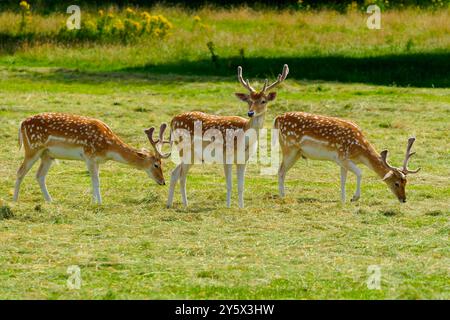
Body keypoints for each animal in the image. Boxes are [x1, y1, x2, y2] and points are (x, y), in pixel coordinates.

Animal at [13, 114, 171, 204]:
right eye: (156, 164)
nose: (163, 182)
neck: (108, 148)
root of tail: (22, 123)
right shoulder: (89, 155)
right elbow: (96, 181)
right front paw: (99, 202)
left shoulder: (96, 160)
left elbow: (93, 180)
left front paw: (94, 201)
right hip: (33, 148)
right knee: (20, 171)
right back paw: (15, 200)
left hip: (48, 155)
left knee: (39, 175)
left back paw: (50, 200)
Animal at [167, 65, 290, 210]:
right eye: (249, 100)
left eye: (263, 101)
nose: (250, 113)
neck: (244, 138)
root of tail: (172, 120)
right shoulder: (227, 156)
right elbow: (229, 184)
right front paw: (228, 206)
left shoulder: (244, 160)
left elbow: (241, 186)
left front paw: (241, 207)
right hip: (184, 149)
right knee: (180, 174)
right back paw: (179, 204)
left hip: (192, 154)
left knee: (177, 173)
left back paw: (176, 204)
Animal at [274, 112, 422, 202]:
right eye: (396, 183)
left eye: (406, 182)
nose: (404, 199)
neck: (359, 152)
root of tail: (278, 118)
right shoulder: (342, 157)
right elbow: (360, 173)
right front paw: (354, 198)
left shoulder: (342, 162)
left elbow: (343, 180)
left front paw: (343, 200)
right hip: (289, 147)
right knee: (280, 171)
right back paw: (282, 196)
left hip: (297, 153)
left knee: (282, 171)